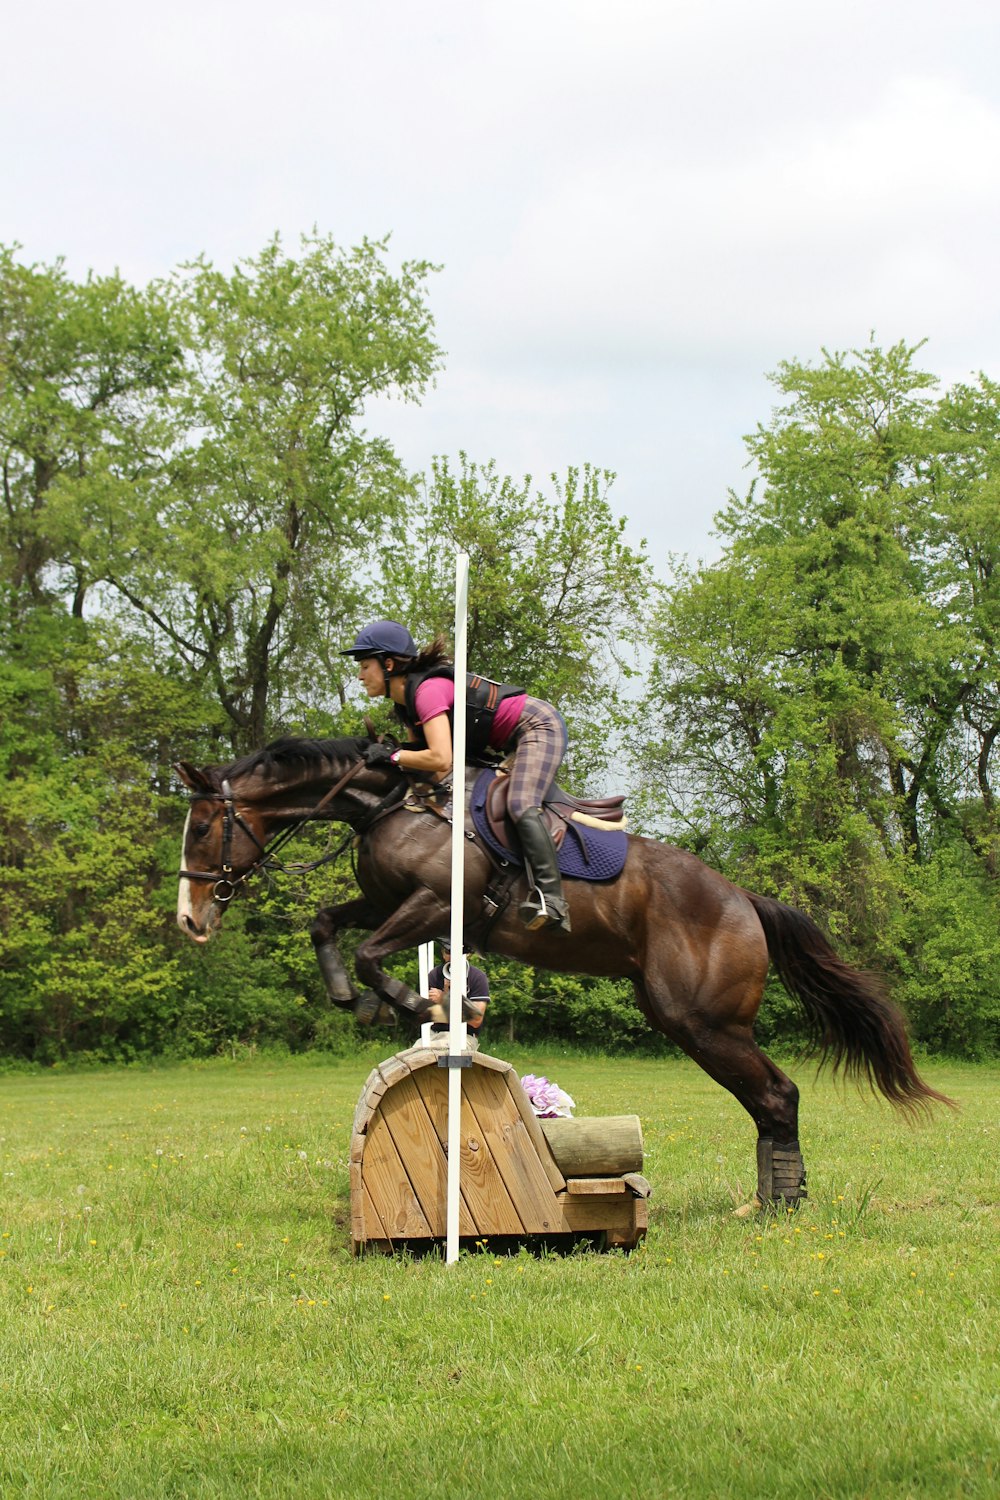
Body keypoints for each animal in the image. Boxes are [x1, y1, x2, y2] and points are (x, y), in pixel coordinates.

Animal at [176, 735, 953, 1206]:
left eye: (203, 828)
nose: (190, 920)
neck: (389, 806)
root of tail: (744, 900)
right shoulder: (387, 901)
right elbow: (327, 924)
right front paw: (354, 999)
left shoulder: (436, 904)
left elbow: (372, 953)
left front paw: (411, 1005)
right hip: (687, 1021)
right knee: (767, 1099)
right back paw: (770, 1201)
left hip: (703, 1021)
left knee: (778, 1094)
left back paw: (778, 1206)